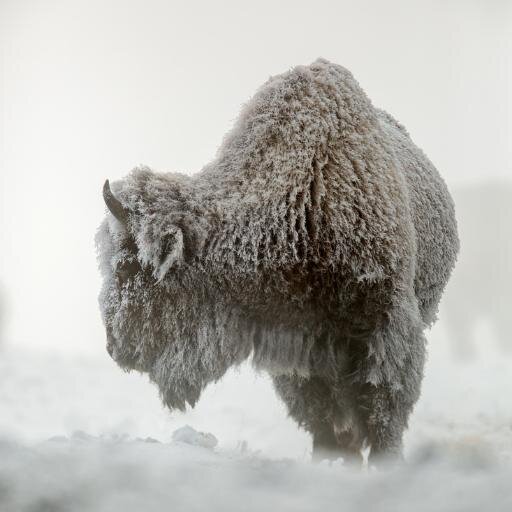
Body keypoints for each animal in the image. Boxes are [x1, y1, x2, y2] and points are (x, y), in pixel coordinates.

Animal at [97, 59, 460, 464]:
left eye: (125, 266)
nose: (113, 347)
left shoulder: (384, 326)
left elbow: (383, 409)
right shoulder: (297, 346)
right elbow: (320, 414)